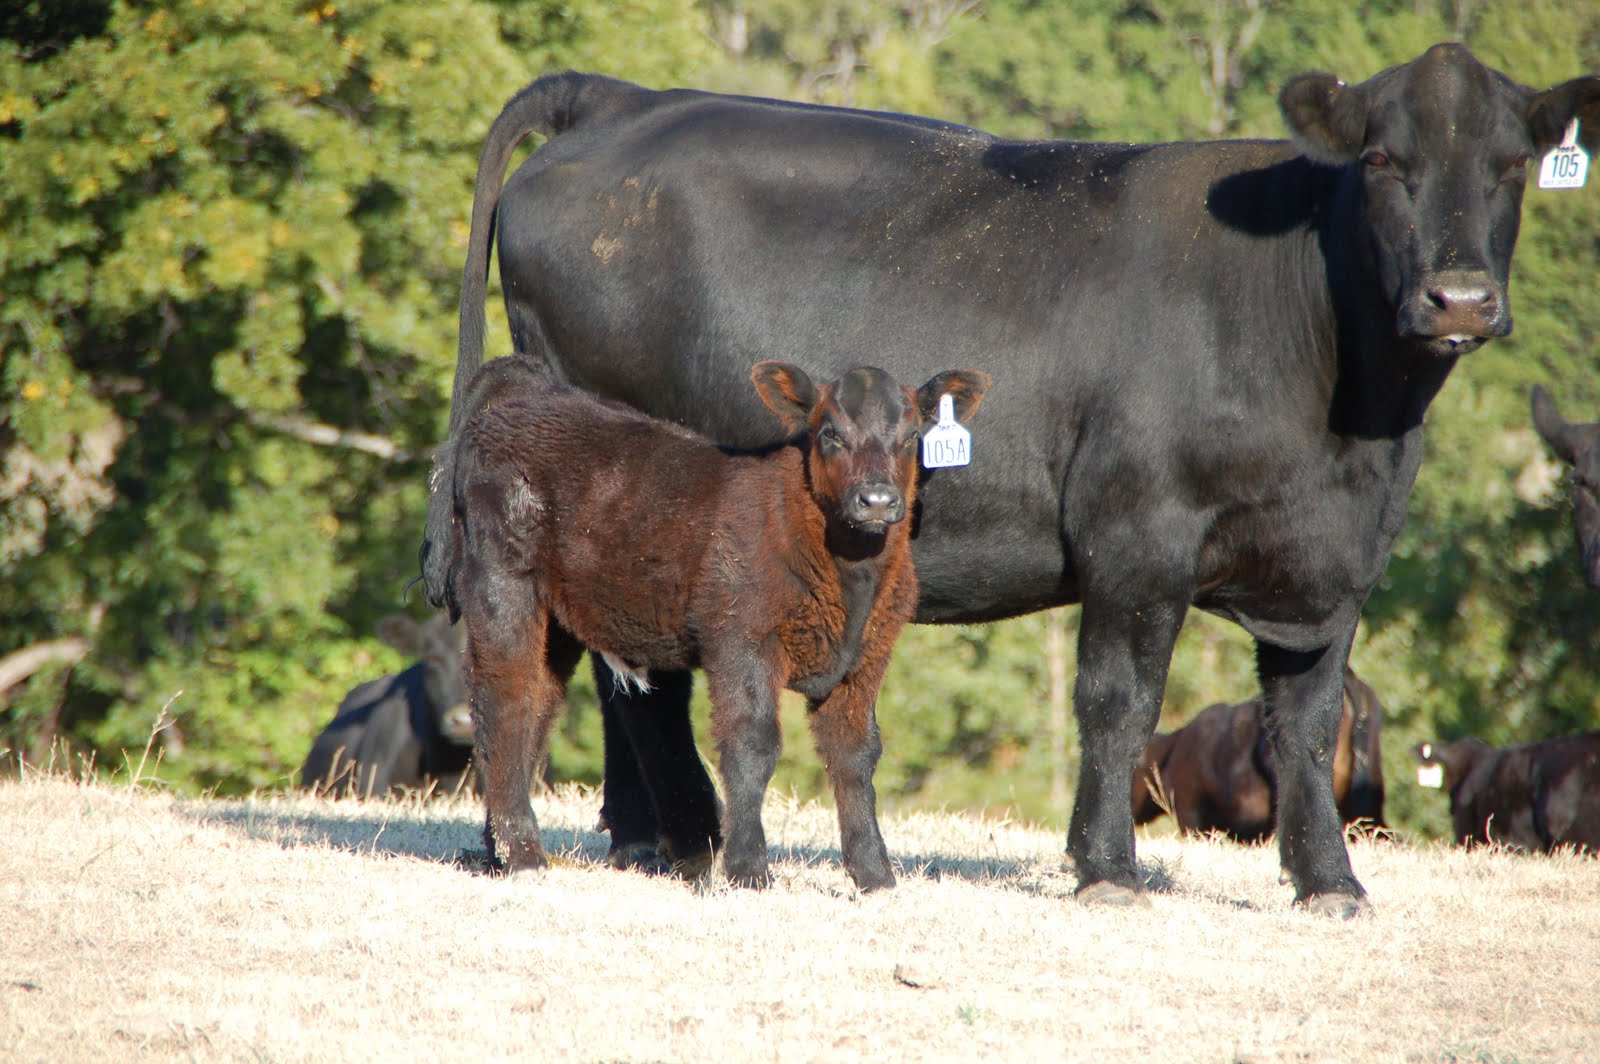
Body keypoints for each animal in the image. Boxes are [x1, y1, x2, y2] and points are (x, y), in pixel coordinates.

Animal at [444, 355, 989, 889]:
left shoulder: (867, 657)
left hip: (556, 618)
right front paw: (748, 868)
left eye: (912, 436)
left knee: (537, 703)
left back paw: (499, 851)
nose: (876, 500)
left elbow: (855, 755)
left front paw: (874, 874)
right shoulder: (742, 640)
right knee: (504, 699)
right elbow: (753, 743)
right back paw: (524, 856)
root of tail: (520, 390)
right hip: (501, 581)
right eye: (830, 432)